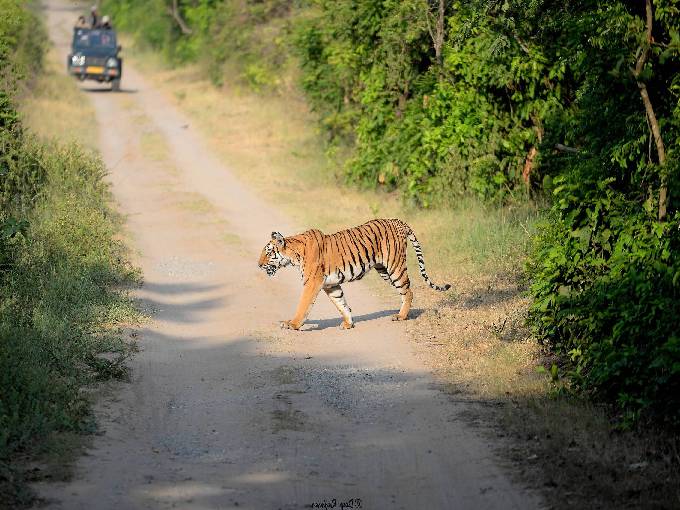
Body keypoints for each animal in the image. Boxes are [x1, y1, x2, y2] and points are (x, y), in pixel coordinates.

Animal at [258, 218, 448, 330]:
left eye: (268, 253)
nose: (258, 265)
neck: (293, 255)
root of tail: (397, 221)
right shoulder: (330, 284)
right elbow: (341, 303)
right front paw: (349, 323)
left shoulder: (312, 283)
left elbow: (303, 305)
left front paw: (293, 324)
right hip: (383, 270)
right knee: (406, 290)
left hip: (395, 266)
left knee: (408, 291)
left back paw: (400, 316)